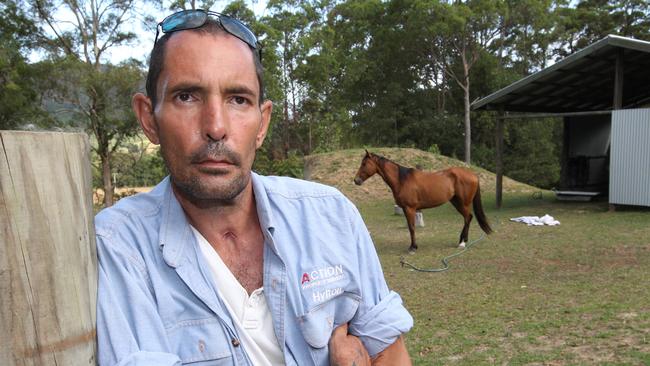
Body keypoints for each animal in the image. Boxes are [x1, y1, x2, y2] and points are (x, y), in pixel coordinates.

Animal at [354, 151, 492, 252]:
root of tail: (473, 175)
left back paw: (462, 243)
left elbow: (412, 227)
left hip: (464, 203)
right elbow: (411, 227)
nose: (356, 180)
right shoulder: (406, 209)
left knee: (468, 217)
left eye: (364, 163)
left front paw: (413, 247)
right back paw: (462, 241)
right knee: (467, 217)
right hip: (456, 202)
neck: (401, 180)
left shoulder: (409, 208)